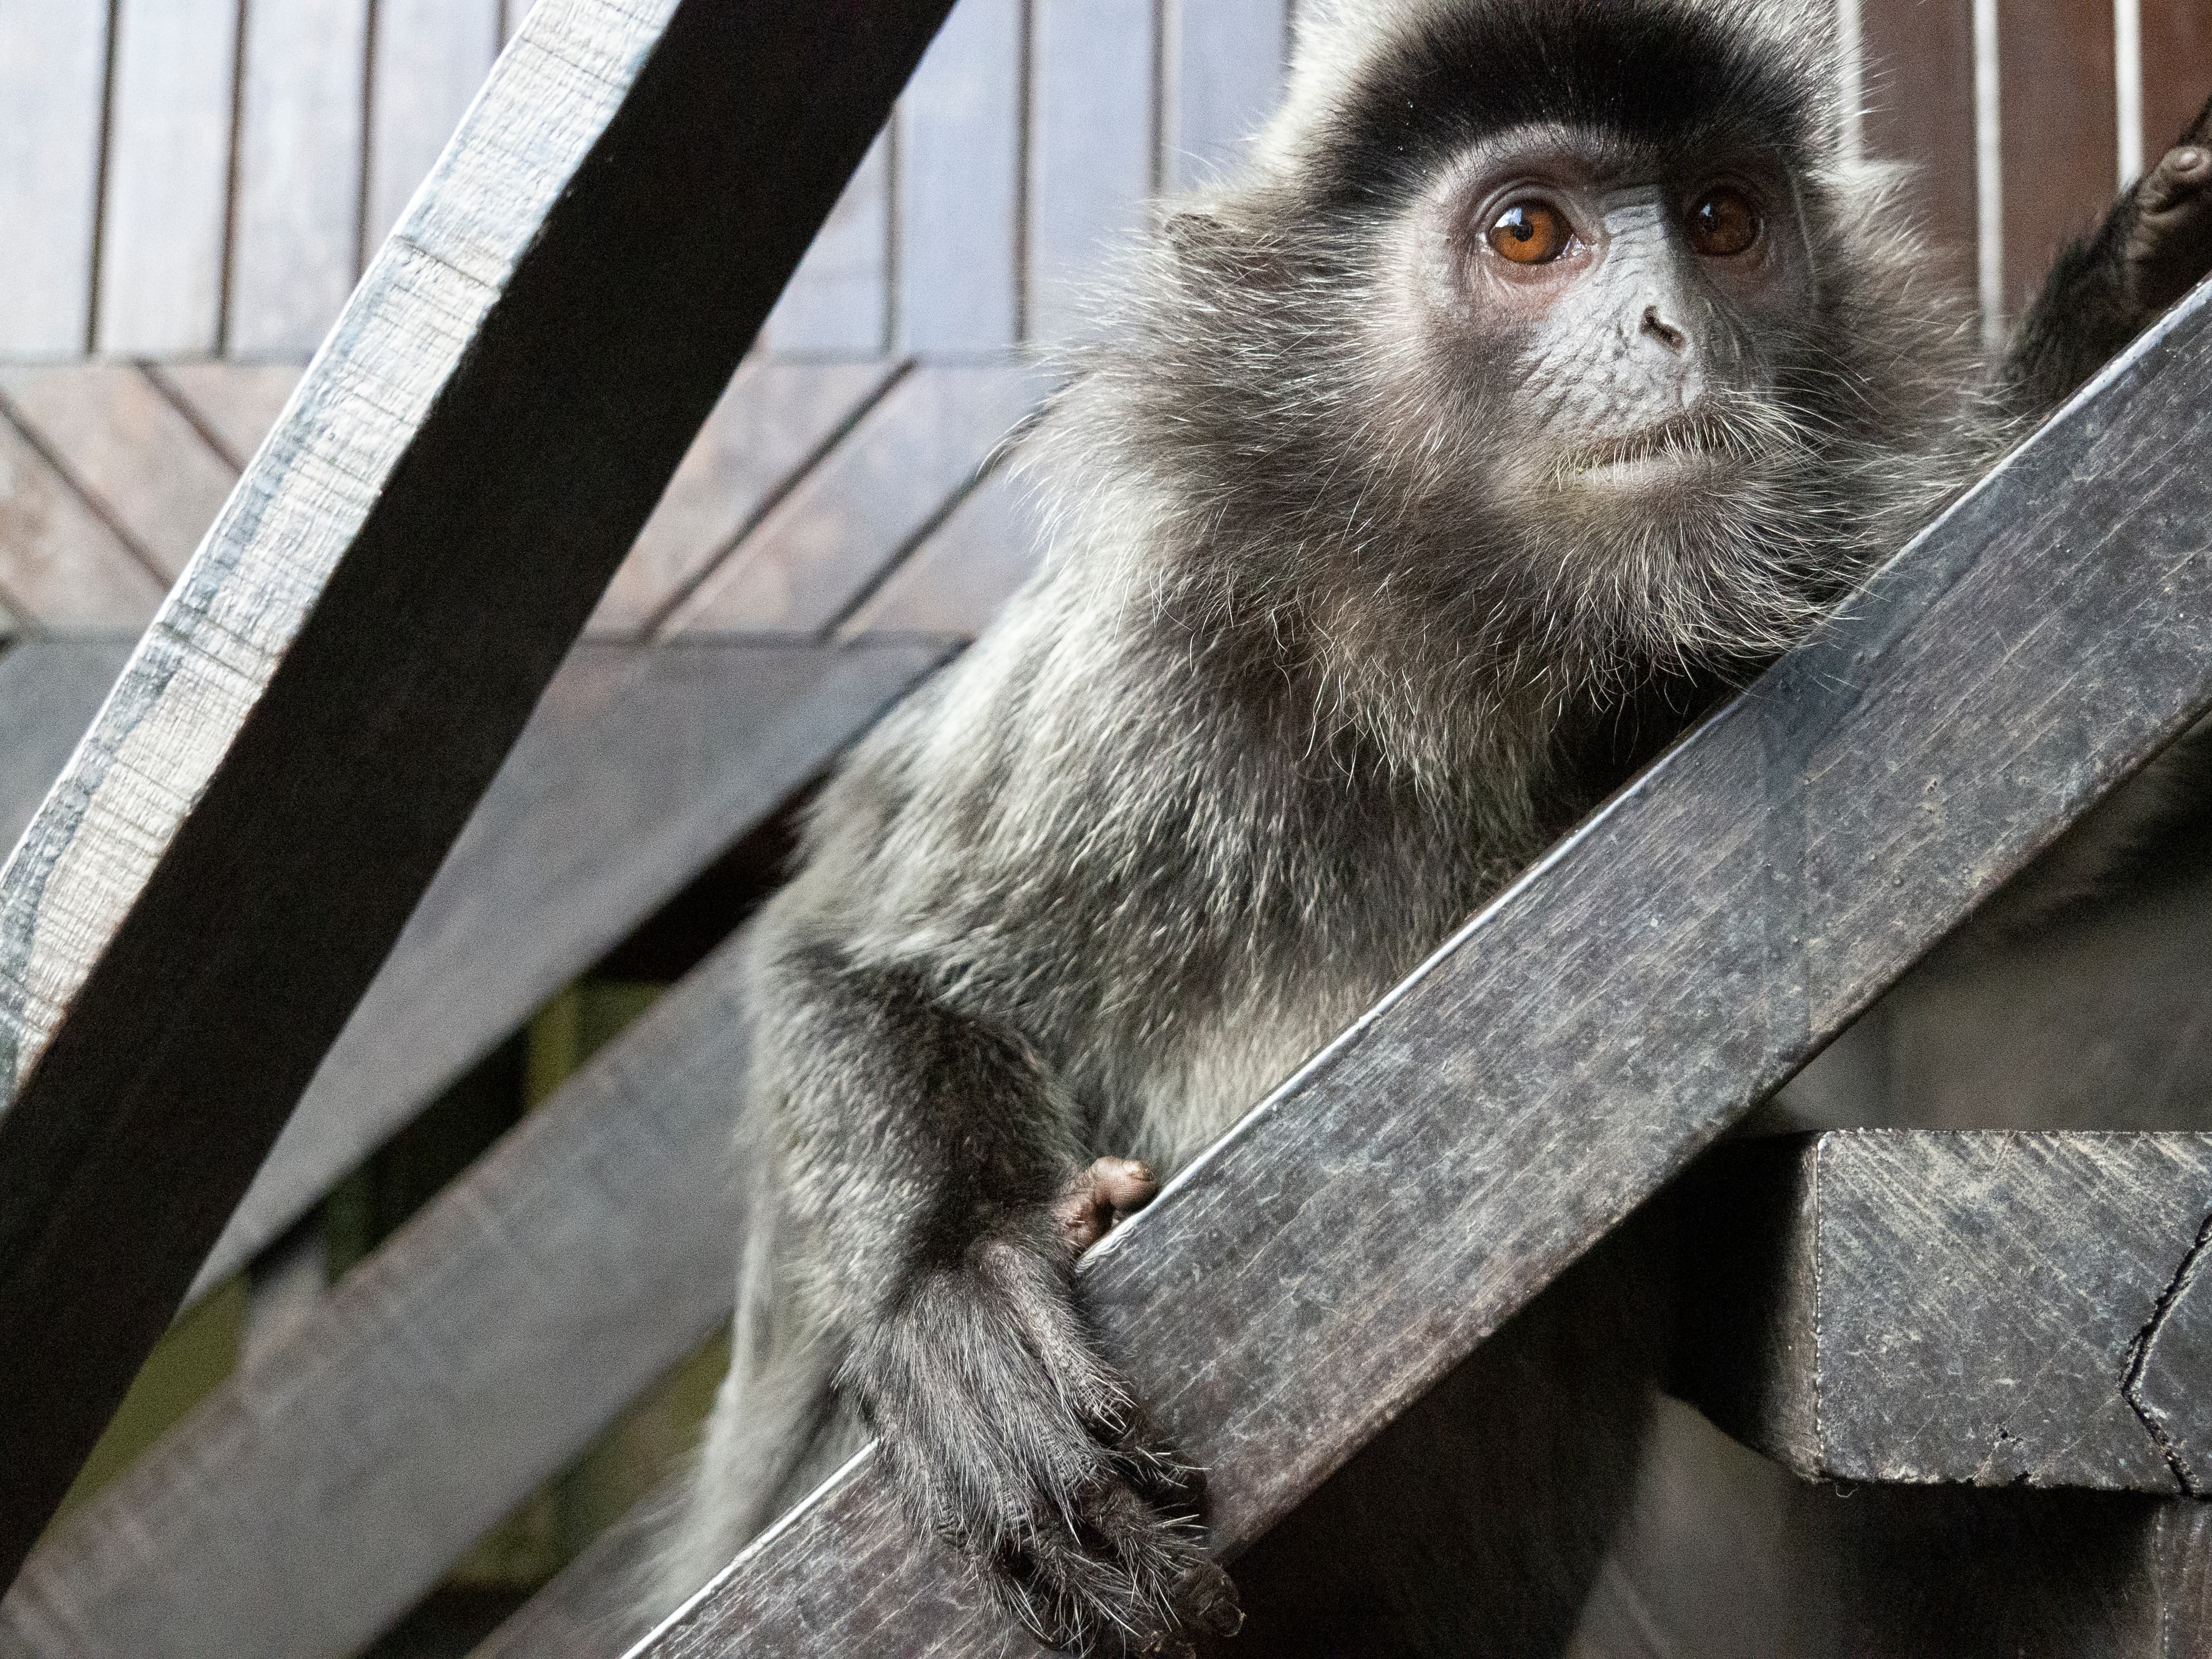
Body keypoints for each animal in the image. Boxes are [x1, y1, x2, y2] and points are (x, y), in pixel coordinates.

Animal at [654, 2, 2212, 1652]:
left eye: (1724, 222)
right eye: (1527, 232)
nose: (1669, 327)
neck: (1449, 668)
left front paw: (2138, 293)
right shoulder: (1154, 663)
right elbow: (854, 954)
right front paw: (954, 1282)